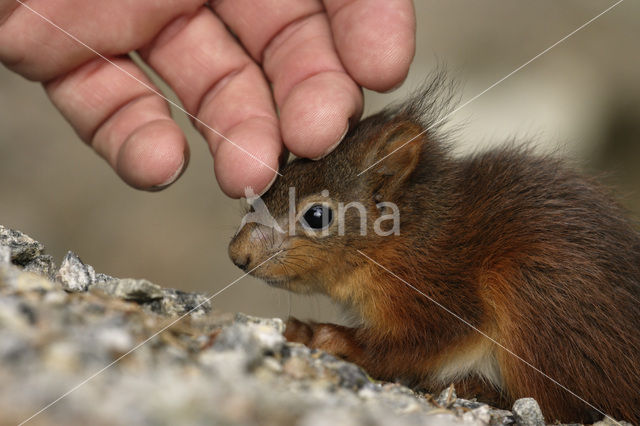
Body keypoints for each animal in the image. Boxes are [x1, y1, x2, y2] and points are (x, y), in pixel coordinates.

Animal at [228, 75, 636, 422]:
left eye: (316, 215)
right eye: (275, 183)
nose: (238, 255)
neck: (404, 239)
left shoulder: (441, 292)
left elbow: (414, 343)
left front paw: (330, 337)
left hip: (537, 297)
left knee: (562, 406)